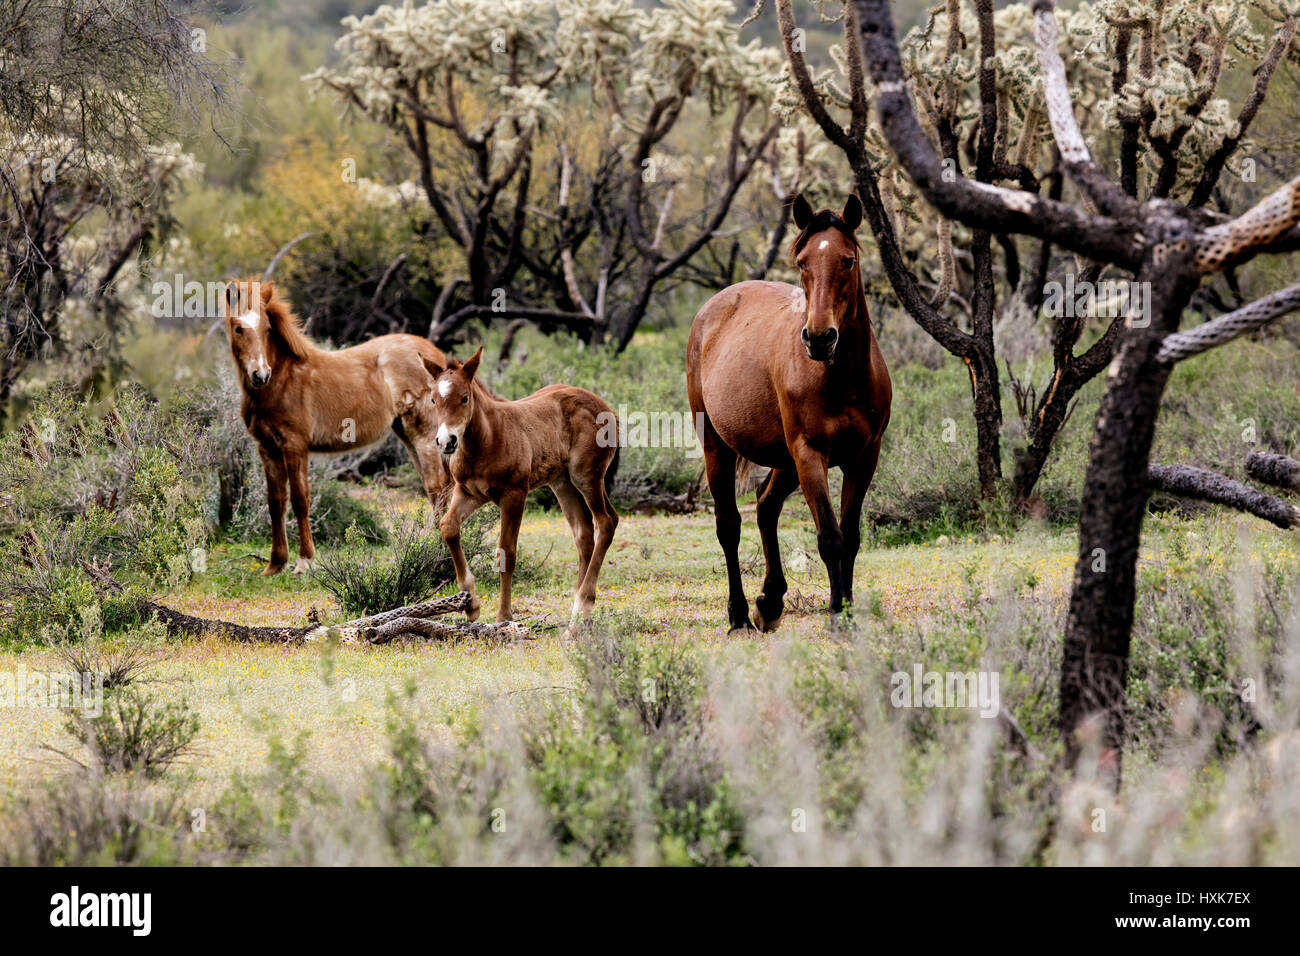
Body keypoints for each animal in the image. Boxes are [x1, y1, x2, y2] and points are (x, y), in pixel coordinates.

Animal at [220, 277, 449, 574]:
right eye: (238, 328)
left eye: (267, 328)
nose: (261, 375)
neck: (282, 380)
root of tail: (436, 357)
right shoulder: (267, 448)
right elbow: (275, 502)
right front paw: (275, 564)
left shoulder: (295, 445)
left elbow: (300, 499)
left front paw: (304, 562)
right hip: (408, 435)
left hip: (424, 435)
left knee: (437, 488)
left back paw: (440, 555)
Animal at [416, 348, 618, 624]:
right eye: (434, 400)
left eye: (465, 398)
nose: (447, 441)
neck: (487, 439)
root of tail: (608, 408)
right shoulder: (468, 492)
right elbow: (448, 526)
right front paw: (471, 604)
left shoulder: (514, 494)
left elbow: (506, 552)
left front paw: (504, 615)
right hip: (562, 483)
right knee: (584, 534)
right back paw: (575, 612)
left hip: (586, 477)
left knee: (605, 523)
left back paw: (583, 607)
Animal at [686, 192, 889, 634]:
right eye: (802, 261)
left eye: (848, 260)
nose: (819, 338)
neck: (842, 378)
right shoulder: (810, 453)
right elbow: (830, 537)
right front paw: (837, 614)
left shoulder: (864, 457)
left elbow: (851, 536)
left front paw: (848, 610)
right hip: (718, 446)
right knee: (729, 525)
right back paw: (739, 614)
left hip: (784, 459)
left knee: (765, 506)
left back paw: (770, 601)